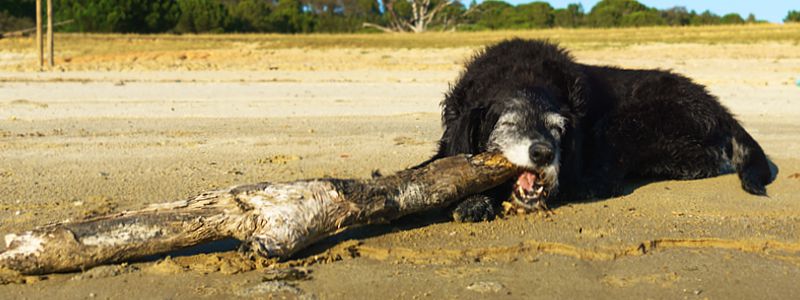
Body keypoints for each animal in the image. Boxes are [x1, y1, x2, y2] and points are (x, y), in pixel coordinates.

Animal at [418, 38, 776, 221]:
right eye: (508, 122)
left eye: (558, 129)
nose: (543, 153)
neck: (521, 74)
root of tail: (718, 108)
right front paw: (473, 200)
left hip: (629, 120)